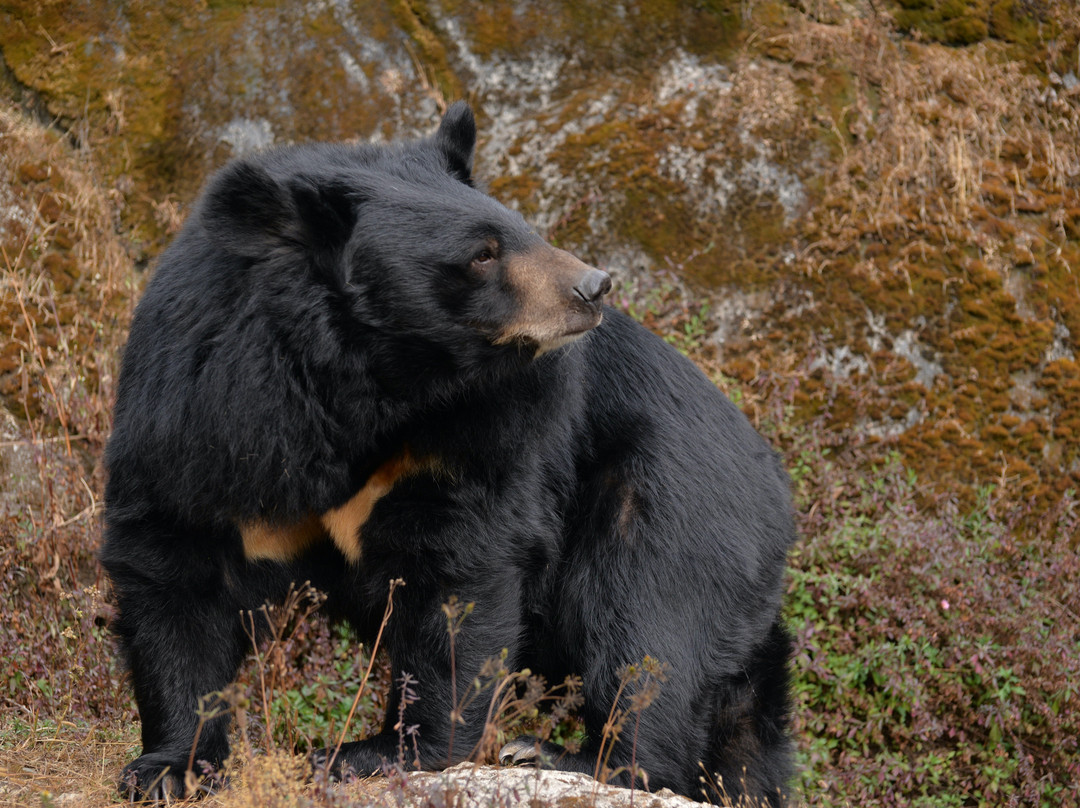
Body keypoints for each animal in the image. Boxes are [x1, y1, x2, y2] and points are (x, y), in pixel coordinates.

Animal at [99, 104, 794, 803]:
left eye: (524, 230)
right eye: (482, 253)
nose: (594, 286)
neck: (366, 384)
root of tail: (777, 482)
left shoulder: (487, 425)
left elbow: (459, 572)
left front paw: (375, 751)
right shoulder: (198, 413)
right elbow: (176, 568)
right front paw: (168, 767)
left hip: (673, 503)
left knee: (645, 624)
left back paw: (569, 758)